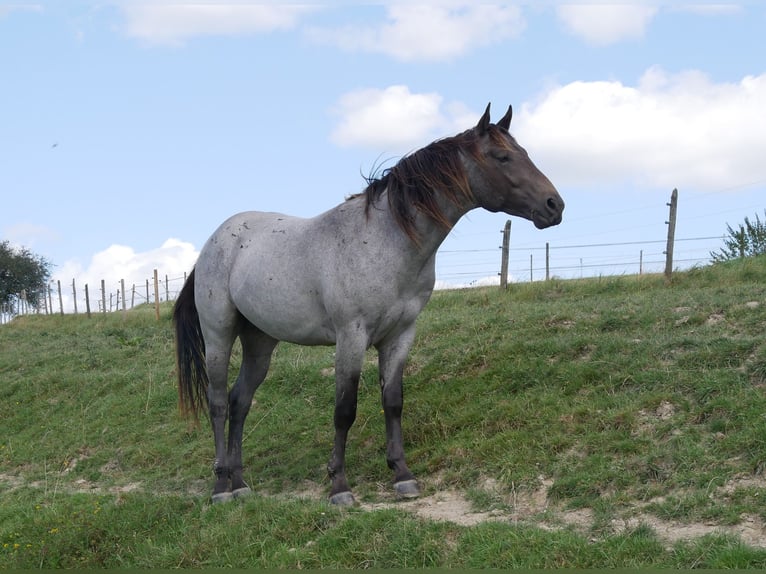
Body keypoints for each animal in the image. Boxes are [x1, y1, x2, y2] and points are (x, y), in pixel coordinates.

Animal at [177, 103, 568, 504]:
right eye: (502, 157)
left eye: (524, 153)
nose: (554, 206)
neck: (385, 241)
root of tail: (214, 242)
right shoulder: (351, 337)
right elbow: (344, 409)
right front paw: (339, 486)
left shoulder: (400, 336)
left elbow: (392, 401)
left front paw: (402, 476)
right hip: (219, 336)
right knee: (218, 403)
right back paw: (221, 487)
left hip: (260, 342)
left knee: (240, 402)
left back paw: (240, 484)